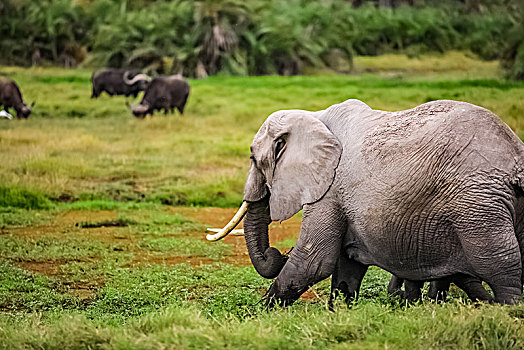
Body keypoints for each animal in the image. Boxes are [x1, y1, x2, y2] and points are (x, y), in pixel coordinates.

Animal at [210, 98, 524, 304]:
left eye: (253, 158)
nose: (277, 253)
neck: (315, 116)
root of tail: (515, 157)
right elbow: (346, 269)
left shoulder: (331, 187)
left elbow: (314, 261)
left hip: (478, 205)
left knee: (501, 270)